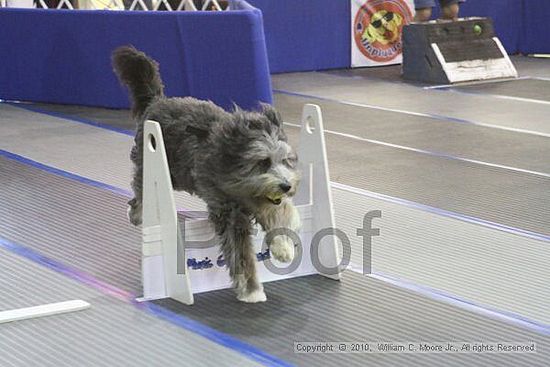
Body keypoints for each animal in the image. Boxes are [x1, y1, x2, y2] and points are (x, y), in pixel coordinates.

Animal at [112, 46, 302, 304]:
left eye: (285, 160)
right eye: (263, 162)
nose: (286, 186)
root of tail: (157, 101)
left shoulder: (260, 198)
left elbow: (280, 213)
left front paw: (283, 247)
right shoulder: (229, 212)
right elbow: (241, 253)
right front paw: (251, 290)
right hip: (155, 164)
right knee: (139, 192)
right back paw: (135, 214)